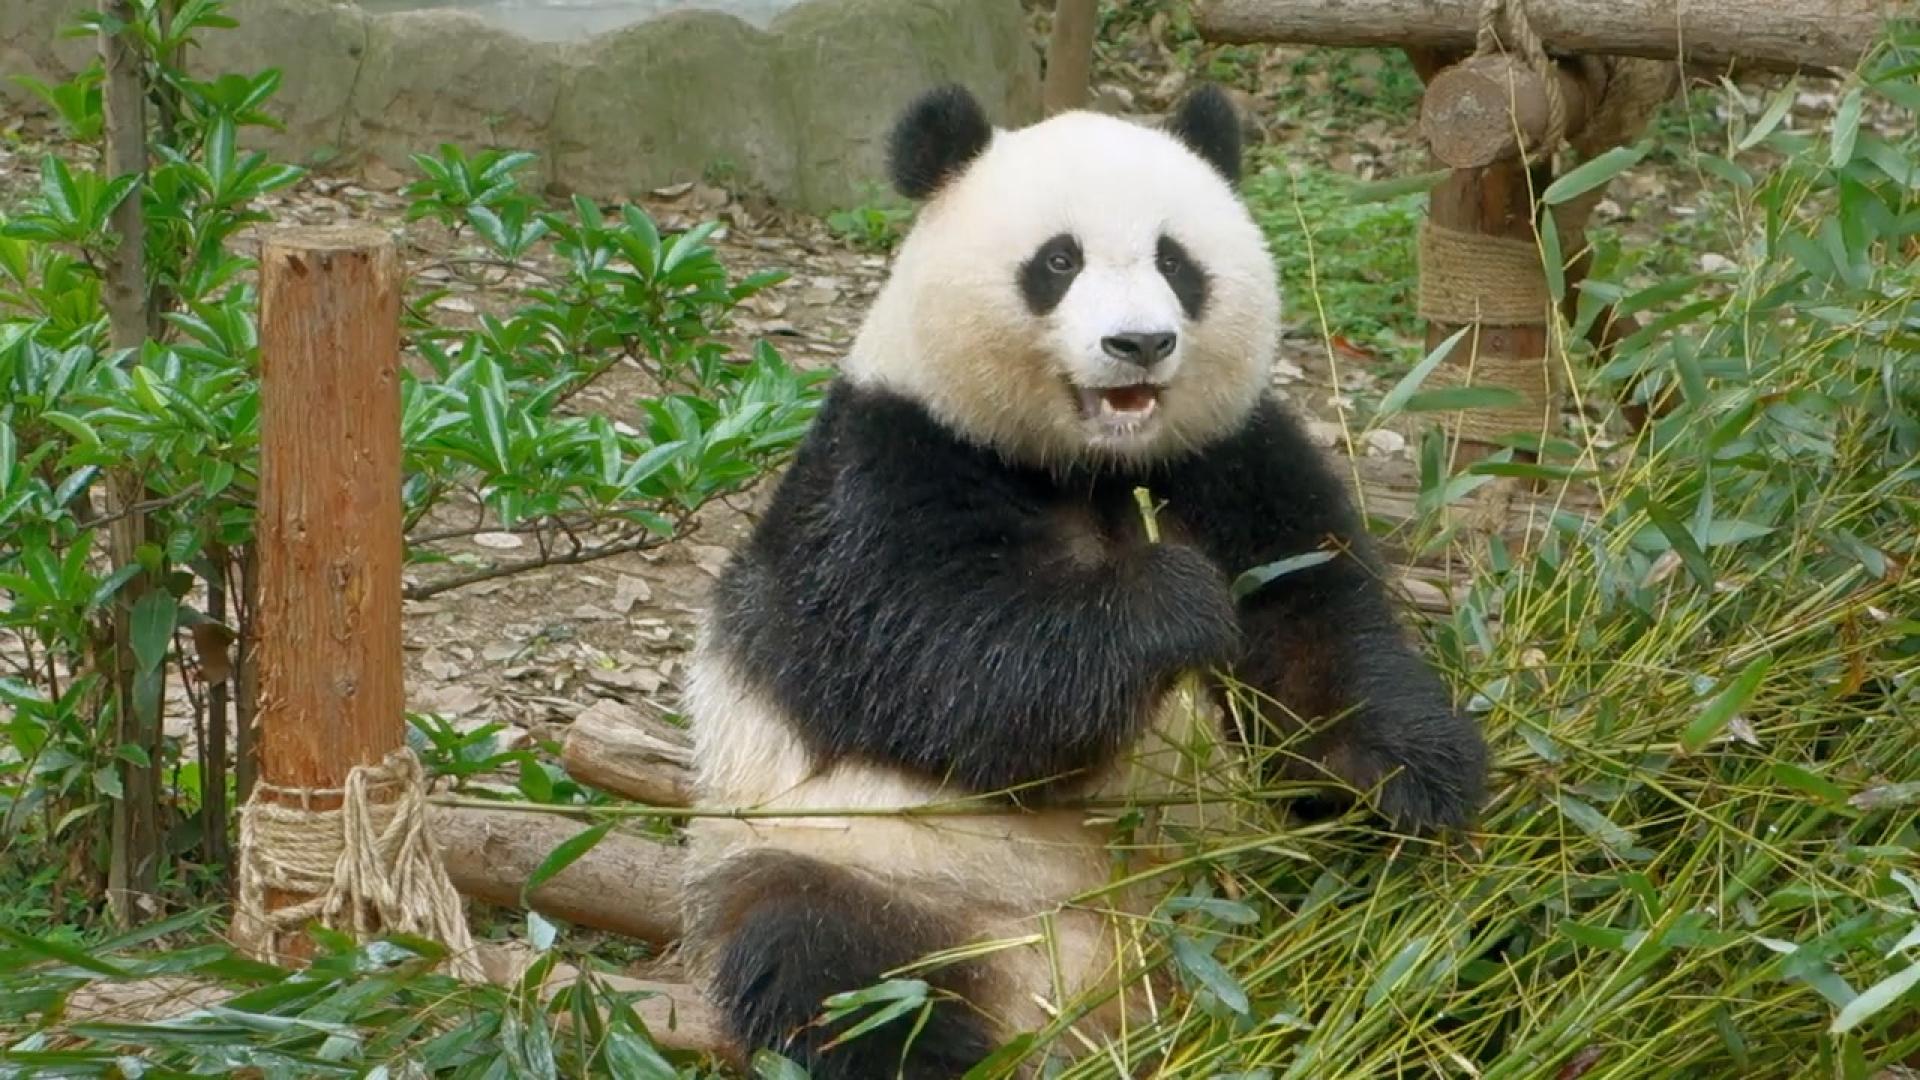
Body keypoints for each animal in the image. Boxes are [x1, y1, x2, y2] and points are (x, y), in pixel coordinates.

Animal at [678, 83, 1489, 1078]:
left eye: (1175, 261)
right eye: (1057, 261)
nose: (1139, 343)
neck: (1096, 466)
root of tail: (1100, 1005)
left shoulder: (1229, 460)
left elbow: (1315, 631)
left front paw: (1411, 783)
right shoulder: (888, 464)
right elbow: (934, 662)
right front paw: (1171, 603)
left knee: (1434, 939)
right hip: (853, 863)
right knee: (830, 971)